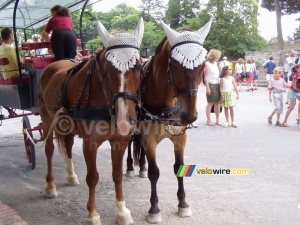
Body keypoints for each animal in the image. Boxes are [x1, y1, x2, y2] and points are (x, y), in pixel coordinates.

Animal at [38, 18, 144, 224]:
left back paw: (71, 176)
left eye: (138, 66)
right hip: (46, 119)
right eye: (107, 70)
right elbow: (93, 177)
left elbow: (117, 175)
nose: (124, 120)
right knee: (49, 150)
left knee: (68, 145)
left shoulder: (120, 141)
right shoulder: (90, 142)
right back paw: (50, 186)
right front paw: (92, 214)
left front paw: (122, 210)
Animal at [130, 19, 212, 223]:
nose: (189, 115)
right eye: (174, 65)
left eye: (202, 65)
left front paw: (183, 204)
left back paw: (141, 166)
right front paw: (154, 208)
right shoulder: (150, 140)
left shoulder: (180, 139)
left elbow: (179, 168)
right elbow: (154, 173)